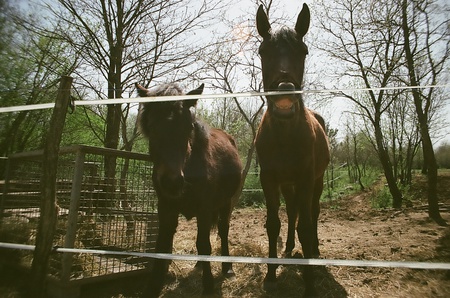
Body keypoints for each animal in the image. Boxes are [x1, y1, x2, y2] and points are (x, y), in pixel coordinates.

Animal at [136, 82, 243, 296]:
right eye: (152, 127)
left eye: (188, 127)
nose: (172, 182)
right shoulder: (166, 208)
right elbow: (163, 246)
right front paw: (153, 288)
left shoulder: (205, 208)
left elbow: (204, 244)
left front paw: (208, 286)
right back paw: (200, 265)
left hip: (226, 202)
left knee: (223, 230)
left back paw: (227, 268)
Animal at [256, 3, 330, 296]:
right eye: (263, 51)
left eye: (303, 51)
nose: (285, 96)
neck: (285, 136)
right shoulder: (269, 180)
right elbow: (273, 224)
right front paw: (270, 274)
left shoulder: (307, 178)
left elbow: (307, 226)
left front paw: (309, 282)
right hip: (288, 185)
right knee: (292, 212)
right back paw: (288, 248)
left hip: (316, 182)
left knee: (312, 213)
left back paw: (315, 251)